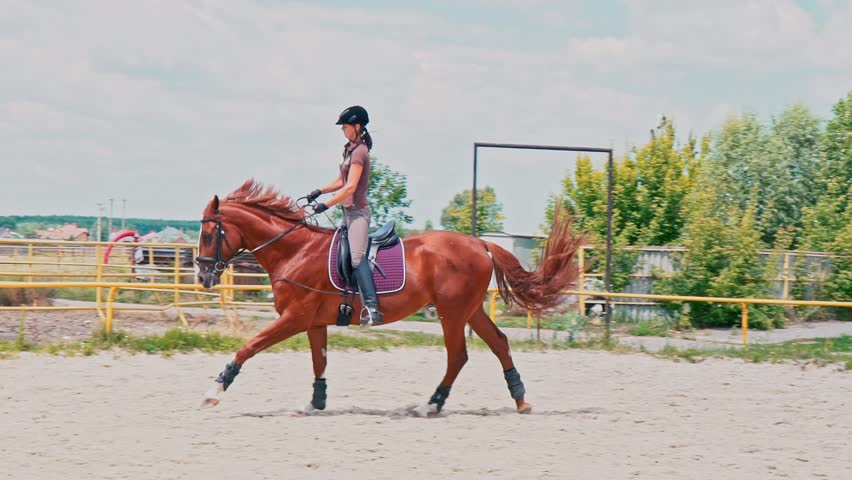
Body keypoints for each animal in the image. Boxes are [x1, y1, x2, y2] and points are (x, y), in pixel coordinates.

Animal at [196, 180, 582, 416]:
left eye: (209, 233)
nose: (202, 277)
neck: (295, 251)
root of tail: (480, 243)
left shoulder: (294, 318)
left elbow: (249, 346)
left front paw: (215, 390)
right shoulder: (314, 322)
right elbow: (319, 362)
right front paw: (314, 403)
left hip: (452, 312)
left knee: (458, 355)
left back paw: (431, 405)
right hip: (470, 310)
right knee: (499, 343)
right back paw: (521, 400)